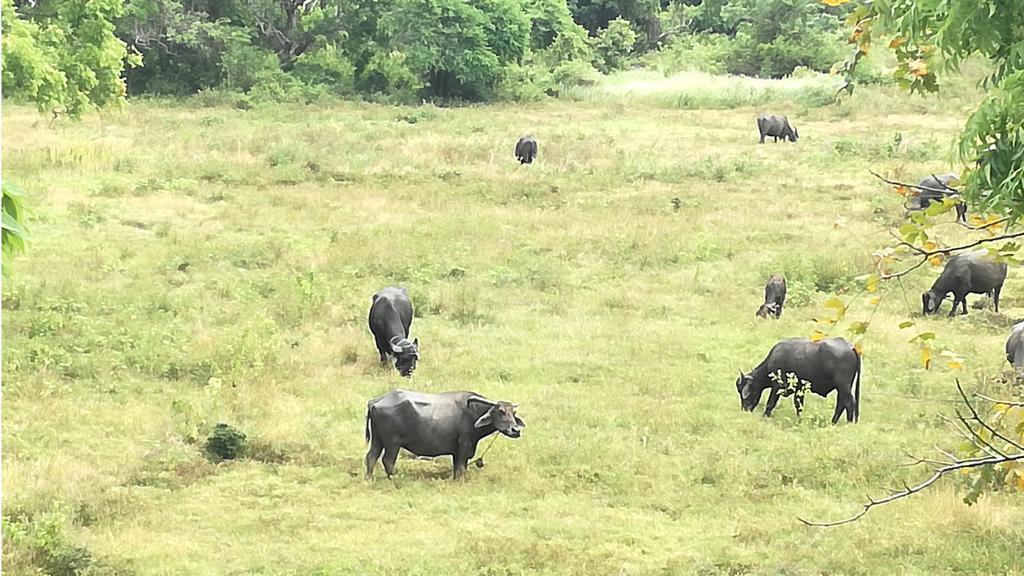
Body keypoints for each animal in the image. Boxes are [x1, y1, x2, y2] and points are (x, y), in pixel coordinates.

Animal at [366, 387, 528, 477]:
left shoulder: (456, 451)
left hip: (377, 439)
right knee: (387, 461)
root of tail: (376, 401)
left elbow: (457, 469)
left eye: (513, 413)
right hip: (393, 442)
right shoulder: (465, 445)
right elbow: (461, 468)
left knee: (371, 457)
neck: (473, 412)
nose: (515, 430)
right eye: (501, 411)